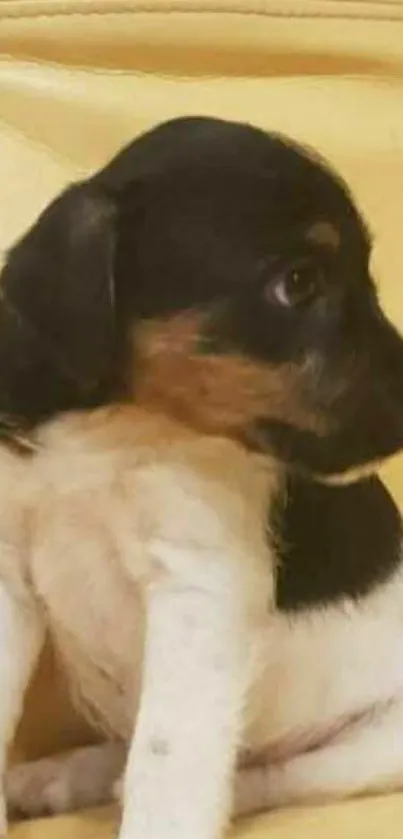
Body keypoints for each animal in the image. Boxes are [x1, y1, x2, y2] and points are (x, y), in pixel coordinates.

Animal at [0, 116, 403, 839]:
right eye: (297, 282)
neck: (120, 429)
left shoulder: (200, 583)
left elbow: (170, 761)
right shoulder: (9, 574)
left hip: (372, 747)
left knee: (261, 774)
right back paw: (62, 773)